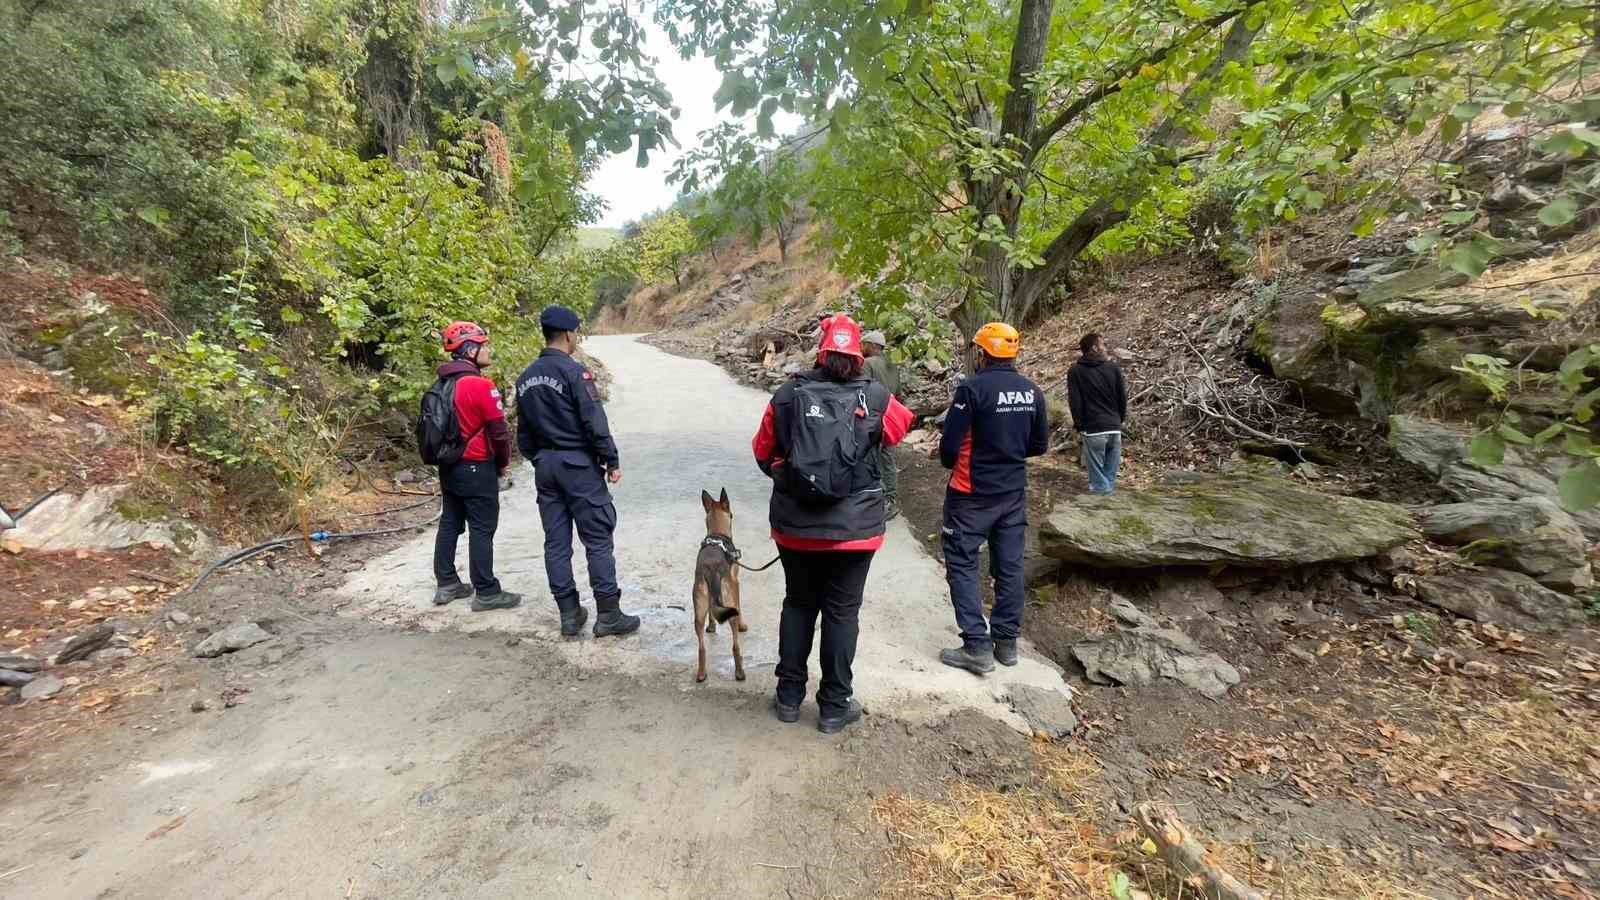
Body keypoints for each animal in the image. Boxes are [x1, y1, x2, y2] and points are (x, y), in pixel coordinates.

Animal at [694, 486, 748, 682]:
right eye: (731, 514)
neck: (717, 535)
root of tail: (712, 569)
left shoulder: (711, 598)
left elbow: (712, 611)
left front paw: (712, 626)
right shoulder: (736, 584)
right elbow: (740, 608)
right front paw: (742, 626)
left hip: (698, 608)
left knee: (701, 647)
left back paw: (702, 673)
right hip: (729, 604)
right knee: (735, 645)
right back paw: (739, 672)